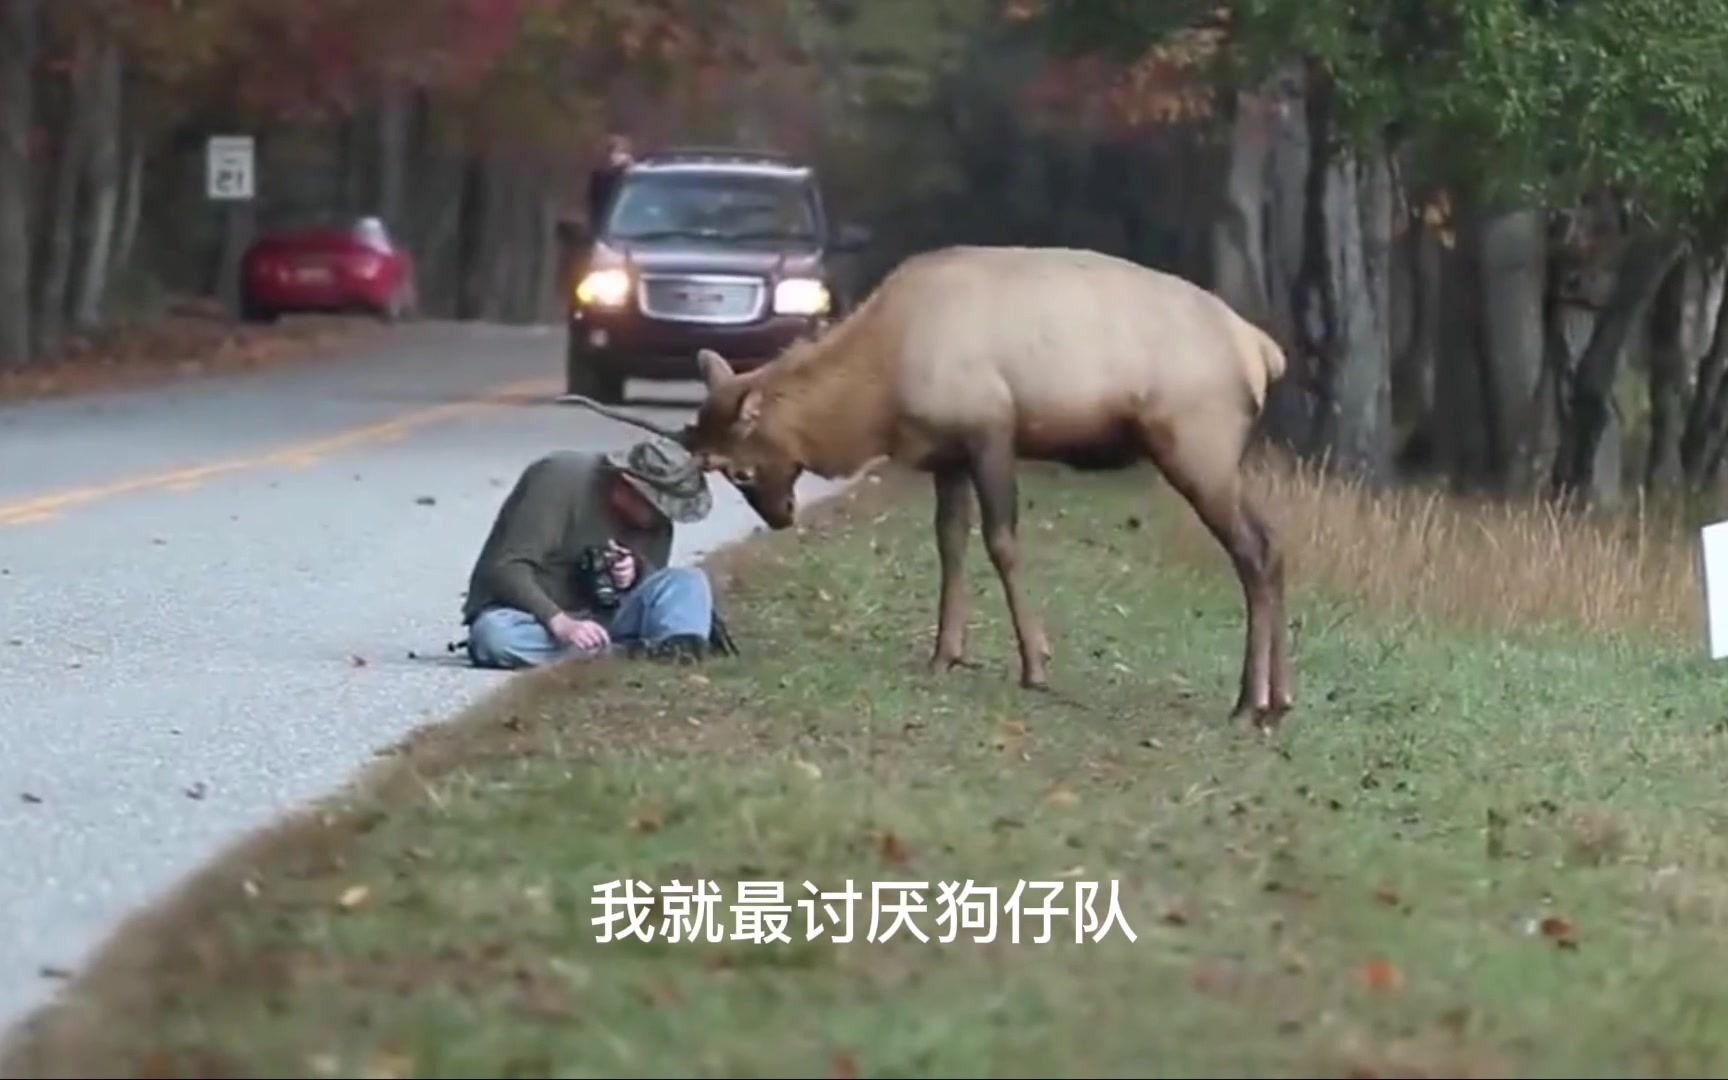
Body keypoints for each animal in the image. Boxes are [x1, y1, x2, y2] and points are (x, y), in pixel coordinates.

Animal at [570, 243, 1299, 729]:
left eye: (741, 468)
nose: (779, 517)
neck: (880, 392)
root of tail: (1263, 353)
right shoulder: (947, 456)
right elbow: (950, 543)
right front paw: (945, 654)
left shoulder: (991, 430)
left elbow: (1002, 543)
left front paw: (1035, 664)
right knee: (1274, 545)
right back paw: (1280, 697)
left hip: (1197, 445)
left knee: (1255, 551)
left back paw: (1249, 703)